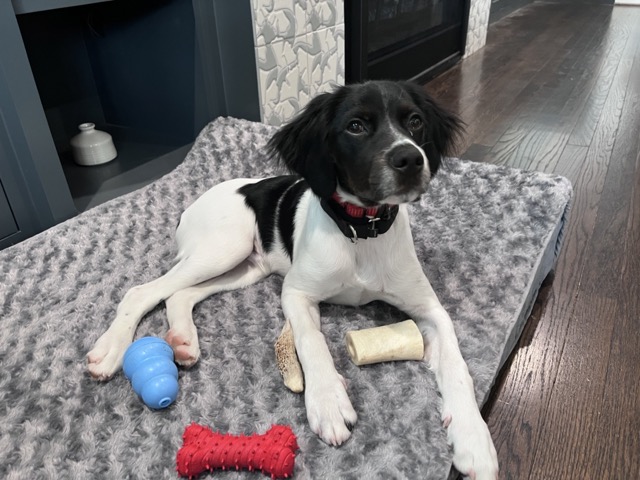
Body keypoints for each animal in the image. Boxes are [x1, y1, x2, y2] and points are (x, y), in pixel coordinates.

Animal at [89, 80, 500, 478]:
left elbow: (458, 367)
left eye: (414, 121)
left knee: (180, 295)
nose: (411, 159)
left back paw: (184, 341)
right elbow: (311, 340)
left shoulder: (430, 309)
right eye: (356, 126)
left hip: (246, 266)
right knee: (141, 291)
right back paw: (109, 350)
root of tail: (192, 205)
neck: (361, 231)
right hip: (224, 247)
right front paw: (328, 400)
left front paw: (474, 439)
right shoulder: (297, 292)